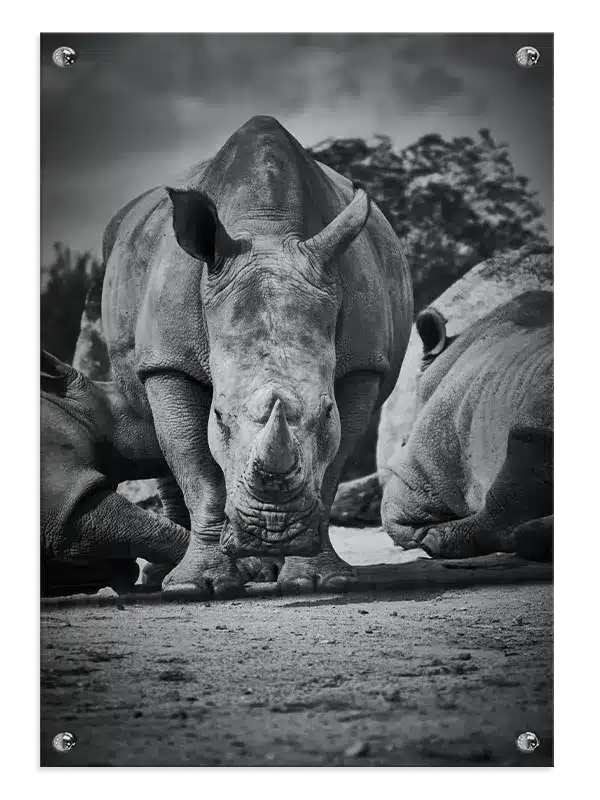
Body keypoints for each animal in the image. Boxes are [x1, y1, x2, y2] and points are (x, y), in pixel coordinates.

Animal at [101, 115, 413, 597]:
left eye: (327, 412)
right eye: (219, 417)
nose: (273, 529)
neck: (267, 230)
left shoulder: (362, 365)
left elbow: (332, 468)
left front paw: (320, 580)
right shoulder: (169, 360)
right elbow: (196, 465)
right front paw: (197, 587)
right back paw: (163, 580)